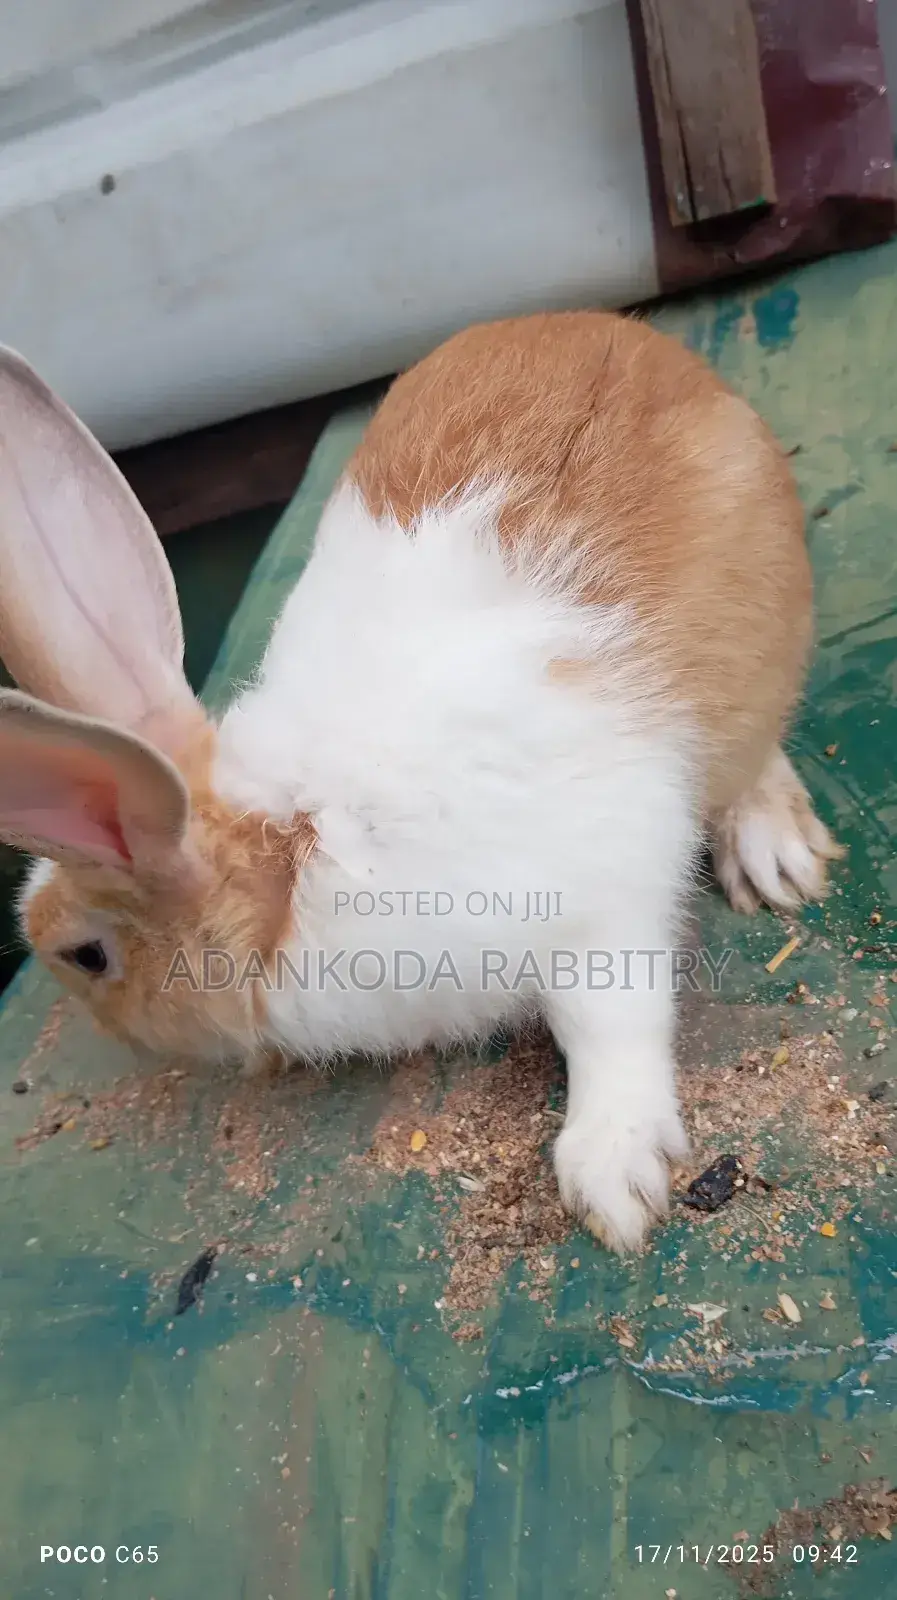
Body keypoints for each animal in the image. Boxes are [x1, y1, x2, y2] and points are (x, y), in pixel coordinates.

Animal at [0, 311, 841, 1254]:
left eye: (89, 955)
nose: (100, 1026)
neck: (292, 860)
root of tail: (638, 338)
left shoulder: (594, 914)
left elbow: (612, 1024)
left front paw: (613, 1180)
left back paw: (773, 853)